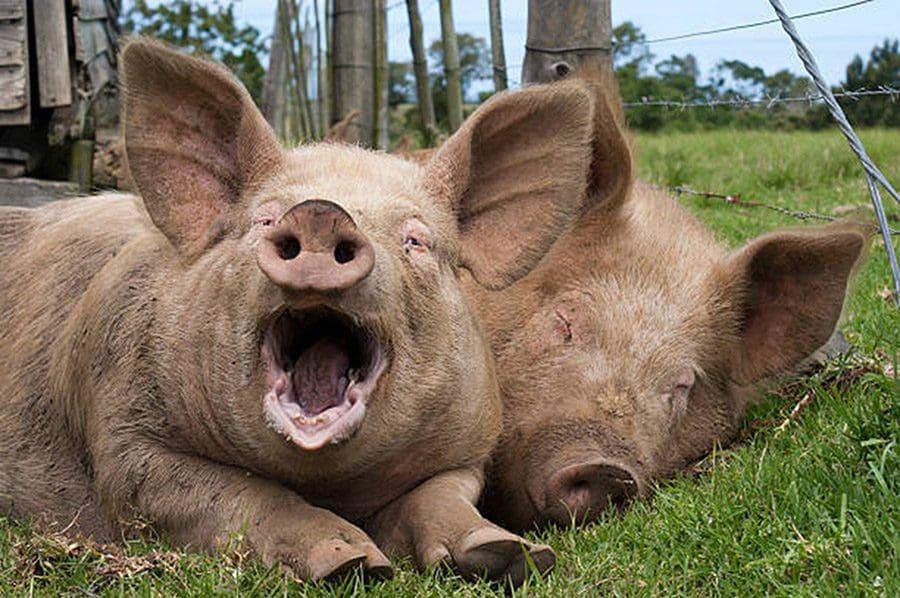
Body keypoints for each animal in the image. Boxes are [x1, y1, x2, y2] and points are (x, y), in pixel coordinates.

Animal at [0, 39, 620, 584]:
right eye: (264, 219)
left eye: (416, 239)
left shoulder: (468, 449)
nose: (321, 213)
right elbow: (245, 495)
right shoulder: (123, 443)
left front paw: (512, 554)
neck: (333, 484)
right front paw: (352, 562)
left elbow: (442, 495)